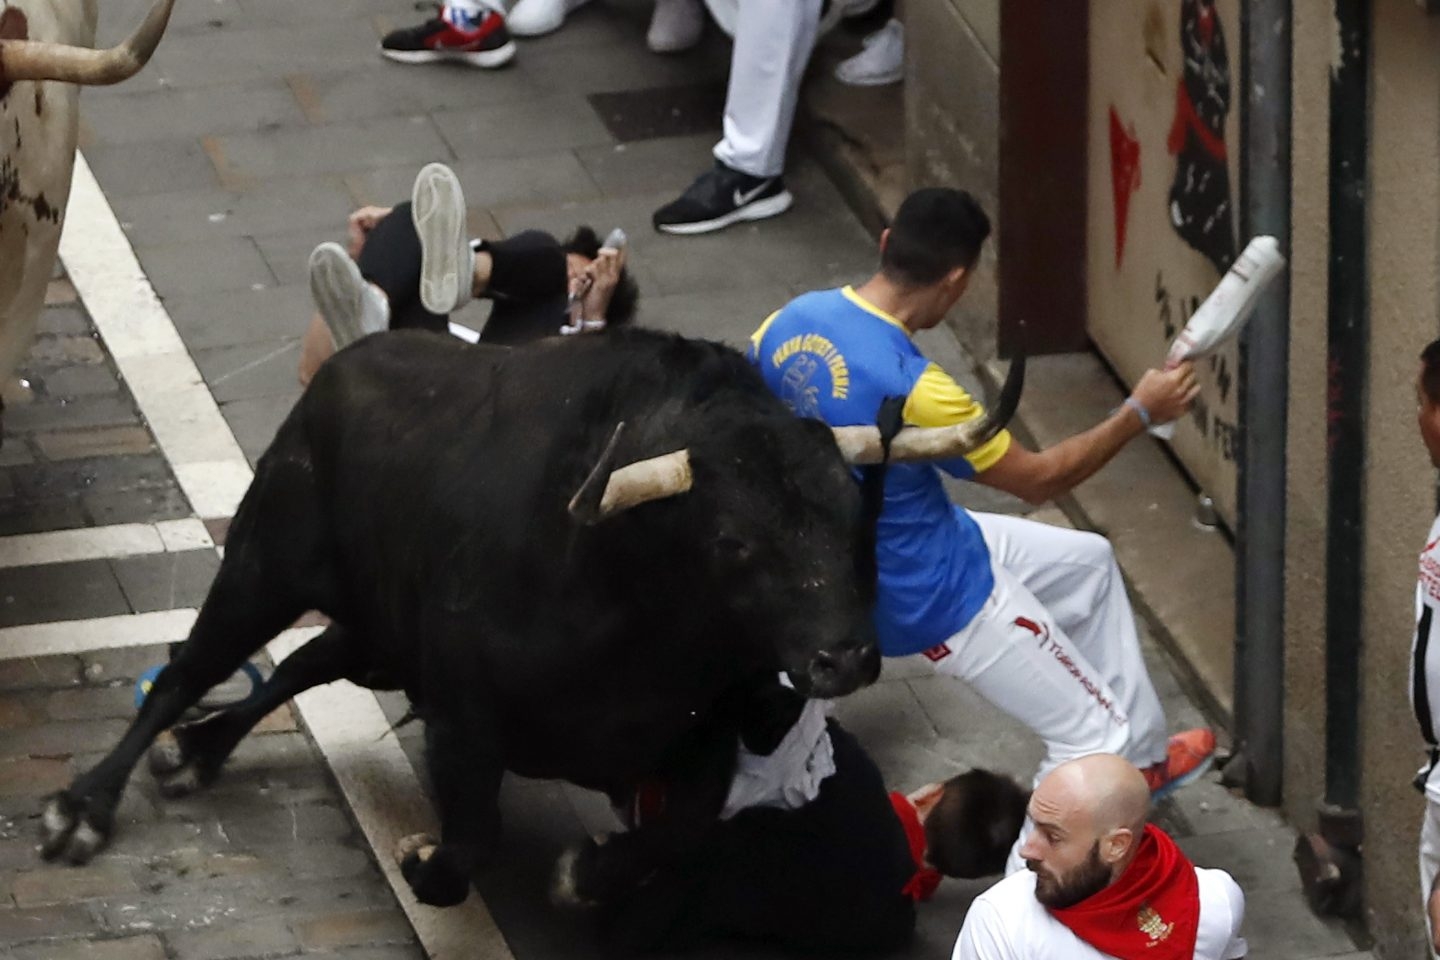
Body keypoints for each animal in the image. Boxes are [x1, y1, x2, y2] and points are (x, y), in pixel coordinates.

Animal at [36, 328, 1025, 909]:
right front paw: (422, 857)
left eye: (858, 516)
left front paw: (584, 871)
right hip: (263, 562)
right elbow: (472, 842)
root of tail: (343, 366)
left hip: (377, 629)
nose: (844, 659)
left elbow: (681, 832)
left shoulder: (701, 731)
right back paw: (85, 807)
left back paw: (200, 751)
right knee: (186, 669)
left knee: (296, 665)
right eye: (735, 542)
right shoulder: (464, 716)